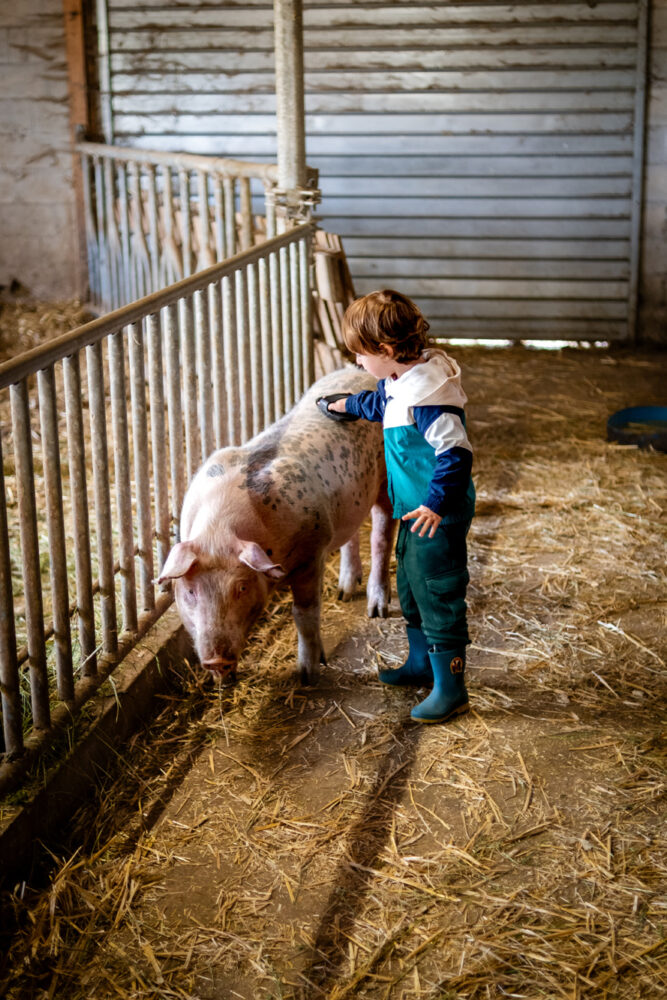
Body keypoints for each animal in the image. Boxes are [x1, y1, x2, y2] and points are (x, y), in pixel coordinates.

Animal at [157, 372, 396, 684]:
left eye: (242, 587)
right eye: (190, 591)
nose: (216, 660)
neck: (218, 532)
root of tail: (361, 373)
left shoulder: (312, 552)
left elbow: (304, 614)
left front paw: (307, 674)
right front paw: (225, 682)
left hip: (386, 480)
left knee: (382, 535)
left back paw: (376, 610)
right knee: (351, 534)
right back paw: (343, 592)